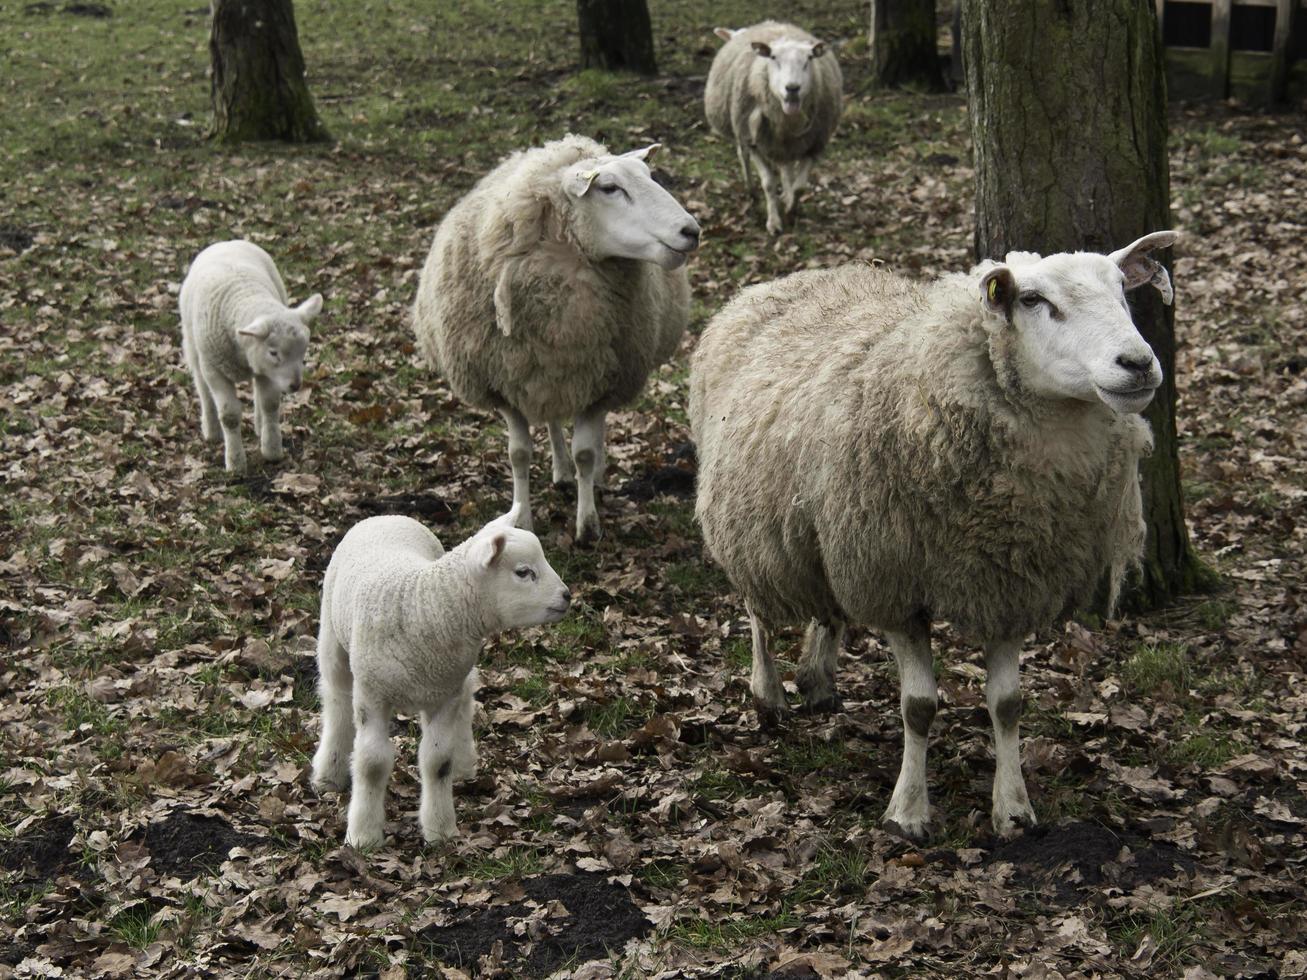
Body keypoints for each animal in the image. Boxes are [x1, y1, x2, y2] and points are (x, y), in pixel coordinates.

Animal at [177, 241, 320, 480]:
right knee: (202, 387)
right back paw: (212, 430)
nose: (295, 385)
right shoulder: (215, 370)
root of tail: (227, 241)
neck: (245, 296)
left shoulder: (268, 371)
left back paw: (259, 425)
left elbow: (270, 404)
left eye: (303, 352)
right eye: (274, 352)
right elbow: (229, 415)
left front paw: (271, 449)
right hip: (194, 348)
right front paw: (235, 463)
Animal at [311, 506, 572, 851]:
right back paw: (329, 770)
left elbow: (437, 762)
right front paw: (363, 836)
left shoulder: (444, 693)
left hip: (452, 676)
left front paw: (440, 829)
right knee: (336, 699)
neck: (426, 607)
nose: (567, 596)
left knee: (467, 698)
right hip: (334, 637)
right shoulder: (372, 693)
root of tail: (388, 515)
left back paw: (463, 763)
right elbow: (372, 763)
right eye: (523, 572)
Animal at [415, 132, 705, 546]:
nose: (691, 231)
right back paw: (562, 472)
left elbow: (585, 450)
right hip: (545, 373)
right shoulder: (504, 385)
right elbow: (518, 454)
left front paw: (587, 525)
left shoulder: (602, 381)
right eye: (609, 188)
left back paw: (590, 477)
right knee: (551, 419)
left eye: (650, 176)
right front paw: (522, 518)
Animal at [690, 233, 1181, 841]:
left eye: (1122, 290)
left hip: (823, 527)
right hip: (755, 520)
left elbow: (1008, 704)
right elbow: (919, 707)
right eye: (1033, 300)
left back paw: (818, 678)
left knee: (827, 606)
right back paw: (768, 693)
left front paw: (1013, 808)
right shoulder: (897, 588)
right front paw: (908, 812)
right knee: (758, 610)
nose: (1138, 364)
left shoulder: (1010, 583)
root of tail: (795, 277)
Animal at [705, 21, 846, 236]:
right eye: (773, 57)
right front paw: (774, 223)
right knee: (743, 157)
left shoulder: (815, 145)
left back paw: (785, 195)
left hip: (785, 144)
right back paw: (751, 191)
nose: (792, 88)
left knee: (786, 168)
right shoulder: (752, 141)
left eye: (809, 59)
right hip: (745, 131)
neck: (788, 119)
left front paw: (791, 210)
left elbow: (800, 187)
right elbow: (769, 183)